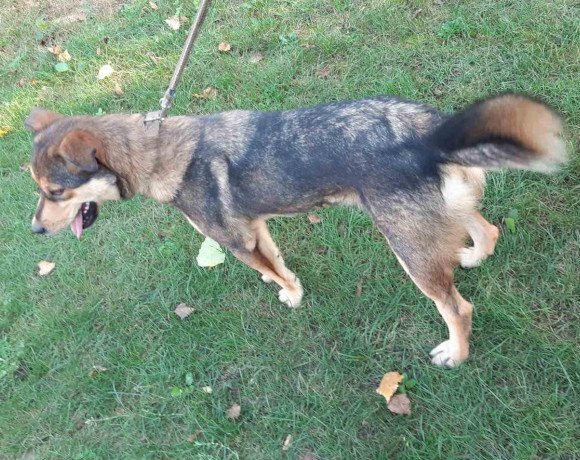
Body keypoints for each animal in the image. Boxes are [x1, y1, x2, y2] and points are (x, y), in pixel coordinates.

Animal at [25, 94, 566, 367]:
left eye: (54, 193)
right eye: (38, 188)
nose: (34, 231)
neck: (160, 152)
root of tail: (426, 131)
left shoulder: (237, 240)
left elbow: (274, 272)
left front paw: (290, 296)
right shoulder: (257, 227)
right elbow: (278, 264)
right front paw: (285, 286)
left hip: (406, 248)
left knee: (458, 307)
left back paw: (456, 352)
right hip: (439, 218)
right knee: (485, 230)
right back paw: (472, 255)